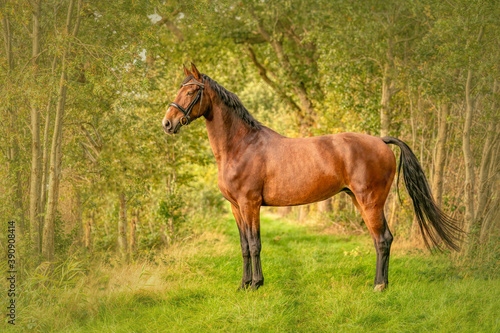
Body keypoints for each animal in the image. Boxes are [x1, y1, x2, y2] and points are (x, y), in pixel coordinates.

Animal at [163, 63, 460, 290]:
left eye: (191, 90)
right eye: (180, 88)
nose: (167, 123)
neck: (241, 145)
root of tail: (381, 141)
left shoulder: (250, 204)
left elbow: (255, 244)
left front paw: (257, 284)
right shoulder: (236, 207)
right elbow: (244, 246)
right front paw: (244, 284)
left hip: (371, 201)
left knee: (383, 239)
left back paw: (379, 286)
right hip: (359, 200)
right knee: (381, 240)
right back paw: (382, 283)